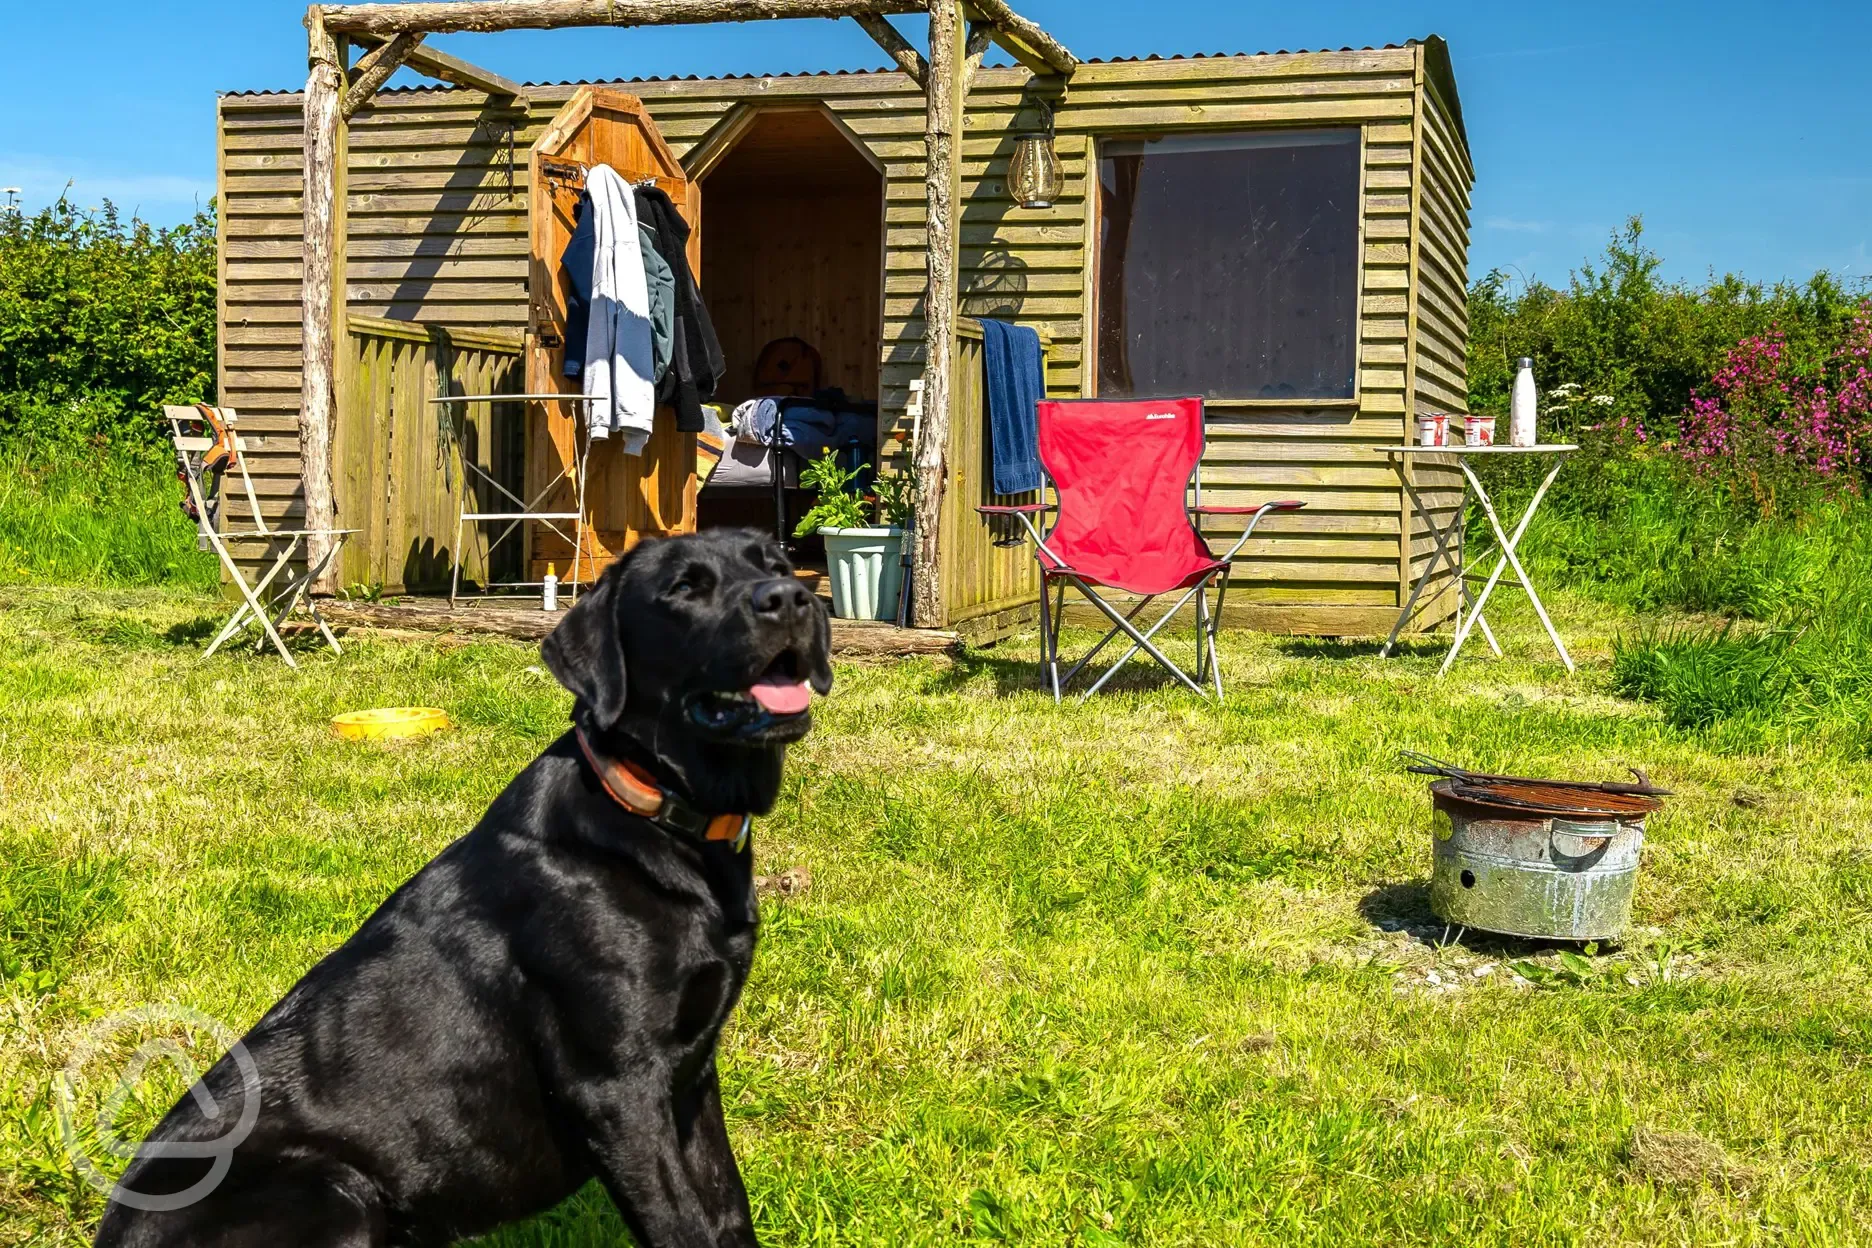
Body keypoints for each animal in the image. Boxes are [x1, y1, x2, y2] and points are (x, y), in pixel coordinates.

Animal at [98, 531, 831, 1248]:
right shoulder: (618, 1087)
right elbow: (684, 1225)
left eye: (775, 561)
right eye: (684, 587)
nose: (792, 598)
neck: (651, 812)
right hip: (335, 1190)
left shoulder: (693, 1076)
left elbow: (729, 1211)